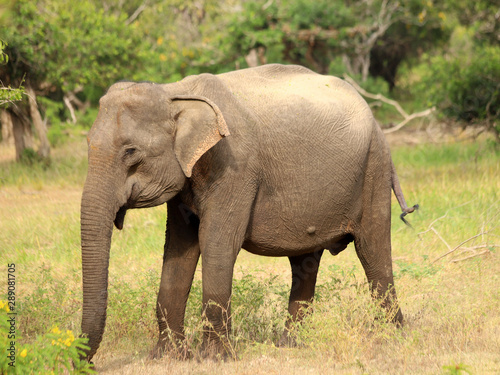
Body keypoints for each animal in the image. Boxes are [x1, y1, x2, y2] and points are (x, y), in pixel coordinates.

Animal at [81, 64, 418, 362]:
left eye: (131, 153)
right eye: (87, 144)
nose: (85, 363)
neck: (175, 92)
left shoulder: (235, 167)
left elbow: (216, 243)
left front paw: (214, 360)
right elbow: (179, 247)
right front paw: (168, 358)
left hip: (374, 166)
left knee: (372, 250)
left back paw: (393, 339)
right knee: (305, 263)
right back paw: (290, 346)